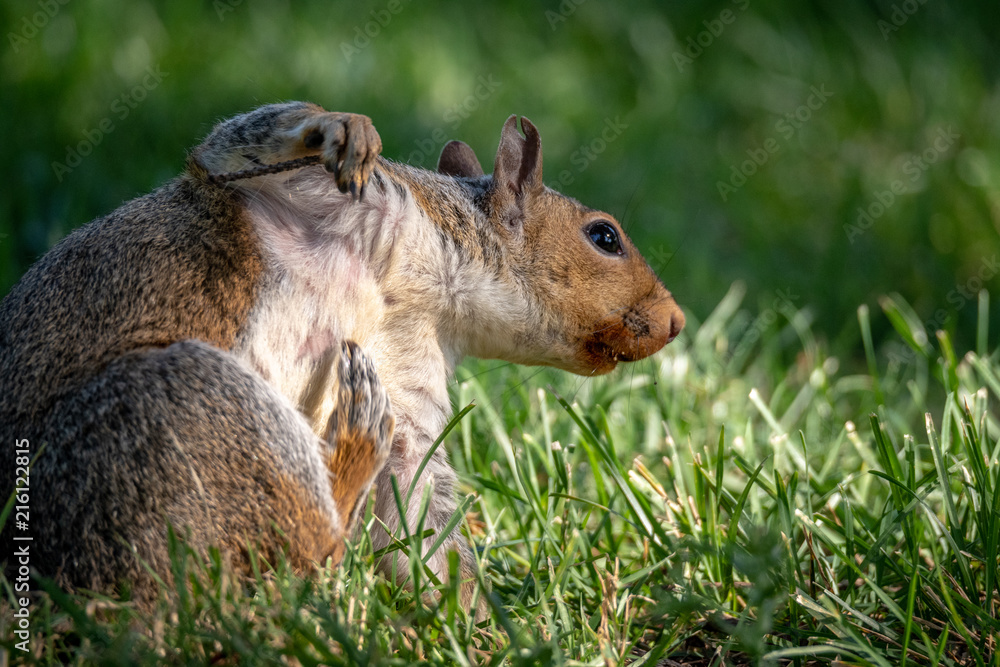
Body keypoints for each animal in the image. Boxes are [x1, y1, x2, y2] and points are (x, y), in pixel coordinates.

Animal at [0, 102, 684, 611]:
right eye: (604, 236)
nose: (676, 322)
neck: (426, 286)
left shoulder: (408, 376)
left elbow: (417, 506)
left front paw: (480, 623)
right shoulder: (338, 191)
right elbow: (230, 146)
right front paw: (342, 127)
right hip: (170, 412)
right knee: (305, 551)